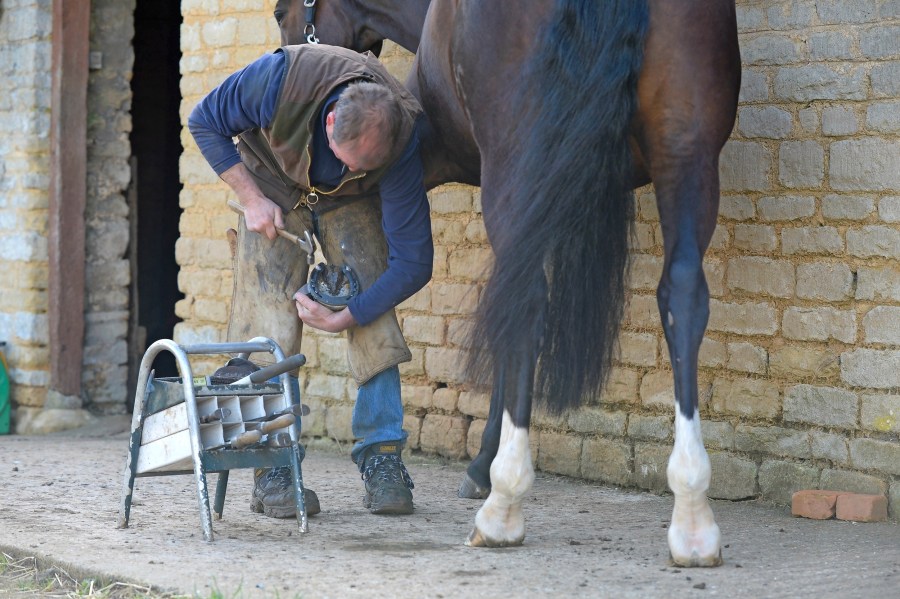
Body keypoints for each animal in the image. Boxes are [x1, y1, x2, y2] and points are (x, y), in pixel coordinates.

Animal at [274, 0, 741, 567]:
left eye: (280, 13)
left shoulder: (422, 158)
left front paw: (482, 466)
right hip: (686, 154)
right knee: (684, 295)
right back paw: (693, 517)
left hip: (517, 169)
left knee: (527, 304)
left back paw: (503, 505)